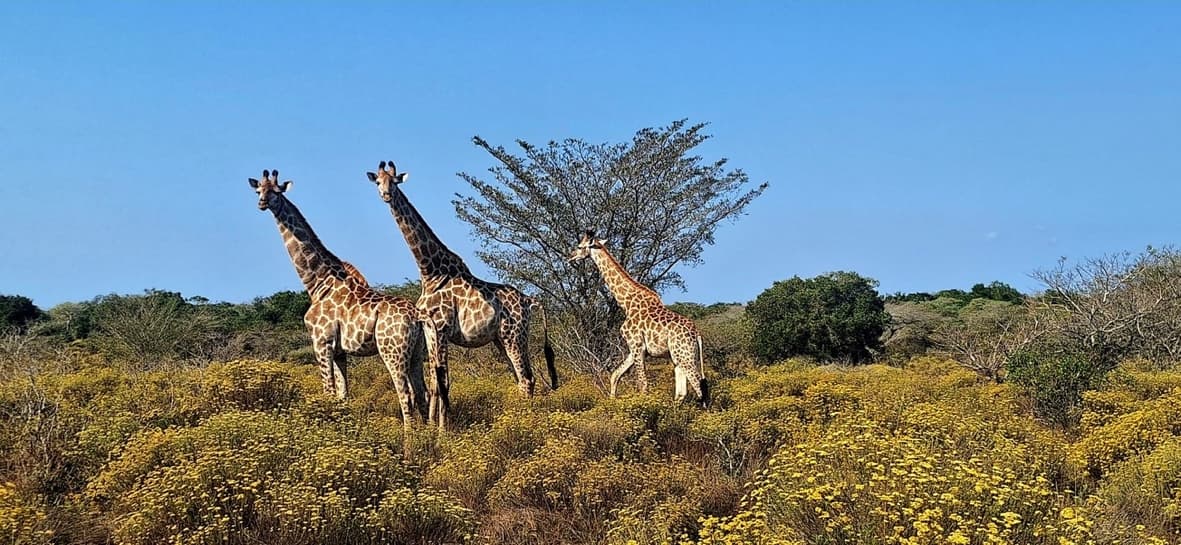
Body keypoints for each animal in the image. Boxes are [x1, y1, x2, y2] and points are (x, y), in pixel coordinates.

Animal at [248, 169, 429, 433]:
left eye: (276, 191)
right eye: (259, 190)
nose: (261, 203)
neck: (317, 282)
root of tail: (417, 317)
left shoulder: (321, 342)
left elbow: (328, 390)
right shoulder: (340, 351)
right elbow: (343, 395)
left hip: (392, 350)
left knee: (405, 393)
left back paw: (410, 439)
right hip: (417, 352)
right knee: (422, 393)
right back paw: (430, 437)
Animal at [365, 160, 558, 429]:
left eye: (394, 182)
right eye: (378, 181)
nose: (385, 195)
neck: (430, 272)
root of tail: (529, 301)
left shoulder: (442, 328)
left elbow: (443, 382)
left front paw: (442, 430)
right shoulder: (430, 331)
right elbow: (434, 382)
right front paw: (433, 427)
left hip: (514, 335)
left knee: (527, 378)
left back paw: (524, 422)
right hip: (500, 339)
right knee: (522, 379)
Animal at [568, 230, 709, 407]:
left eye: (580, 246)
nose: (570, 256)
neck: (626, 302)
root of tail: (697, 334)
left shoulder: (636, 345)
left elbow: (642, 384)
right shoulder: (634, 348)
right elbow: (615, 375)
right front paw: (611, 403)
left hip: (685, 356)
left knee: (699, 387)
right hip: (679, 357)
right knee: (682, 392)